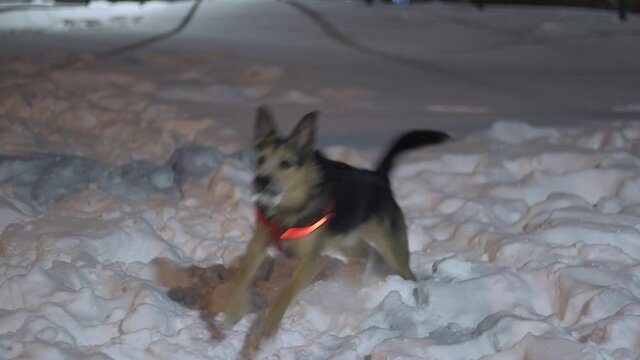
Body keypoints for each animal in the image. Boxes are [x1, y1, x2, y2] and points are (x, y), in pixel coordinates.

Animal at [220, 106, 450, 354]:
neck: (289, 207)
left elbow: (285, 292)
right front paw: (233, 310)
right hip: (345, 240)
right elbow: (242, 274)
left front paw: (268, 328)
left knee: (404, 270)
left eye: (286, 163)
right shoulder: (260, 241)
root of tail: (379, 178)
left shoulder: (311, 260)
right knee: (366, 253)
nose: (261, 180)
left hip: (391, 245)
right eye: (261, 159)